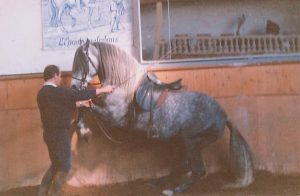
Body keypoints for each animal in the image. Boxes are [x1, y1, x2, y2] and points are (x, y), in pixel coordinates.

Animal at [71, 40, 255, 194]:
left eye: (82, 60)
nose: (73, 87)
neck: (123, 85)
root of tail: (223, 114)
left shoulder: (114, 118)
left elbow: (87, 107)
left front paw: (84, 131)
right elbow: (84, 105)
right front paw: (82, 129)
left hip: (191, 141)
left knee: (197, 170)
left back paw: (173, 190)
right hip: (186, 142)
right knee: (185, 166)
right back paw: (160, 182)